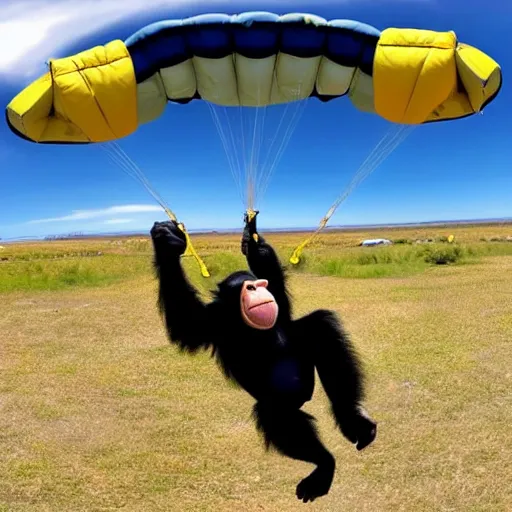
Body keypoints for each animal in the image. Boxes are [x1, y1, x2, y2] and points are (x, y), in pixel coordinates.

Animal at [150, 213, 374, 504]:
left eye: (259, 284)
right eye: (248, 286)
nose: (259, 289)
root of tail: (305, 397)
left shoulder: (276, 294)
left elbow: (273, 276)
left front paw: (252, 238)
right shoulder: (212, 321)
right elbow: (186, 322)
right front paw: (167, 243)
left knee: (319, 326)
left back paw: (352, 420)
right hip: (283, 401)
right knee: (275, 413)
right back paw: (324, 465)